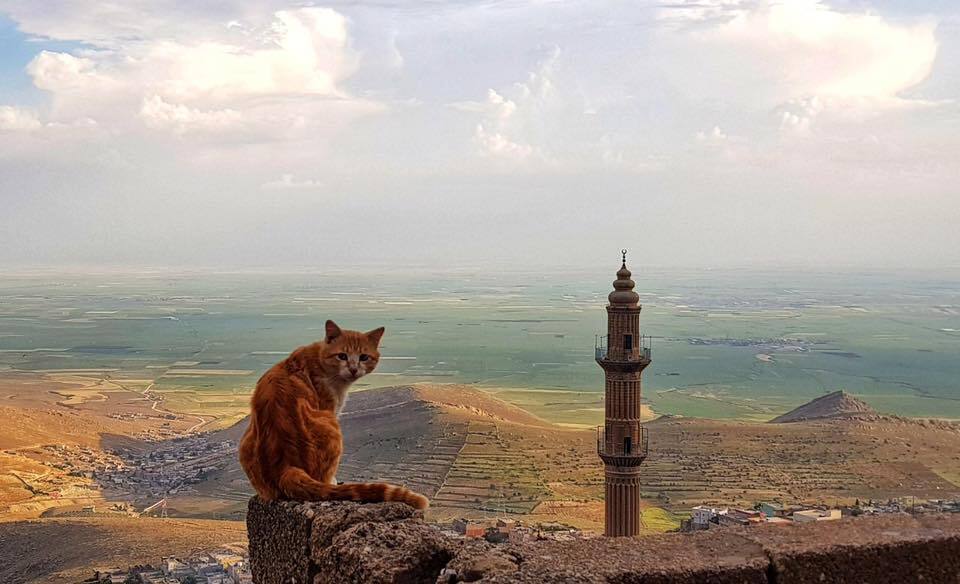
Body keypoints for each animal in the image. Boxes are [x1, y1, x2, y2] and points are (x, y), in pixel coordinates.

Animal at [236, 322, 428, 508]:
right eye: (342, 356)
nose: (353, 369)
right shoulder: (330, 407)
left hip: (245, 442)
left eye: (363, 357)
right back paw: (331, 482)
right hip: (330, 426)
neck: (319, 359)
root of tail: (286, 467)